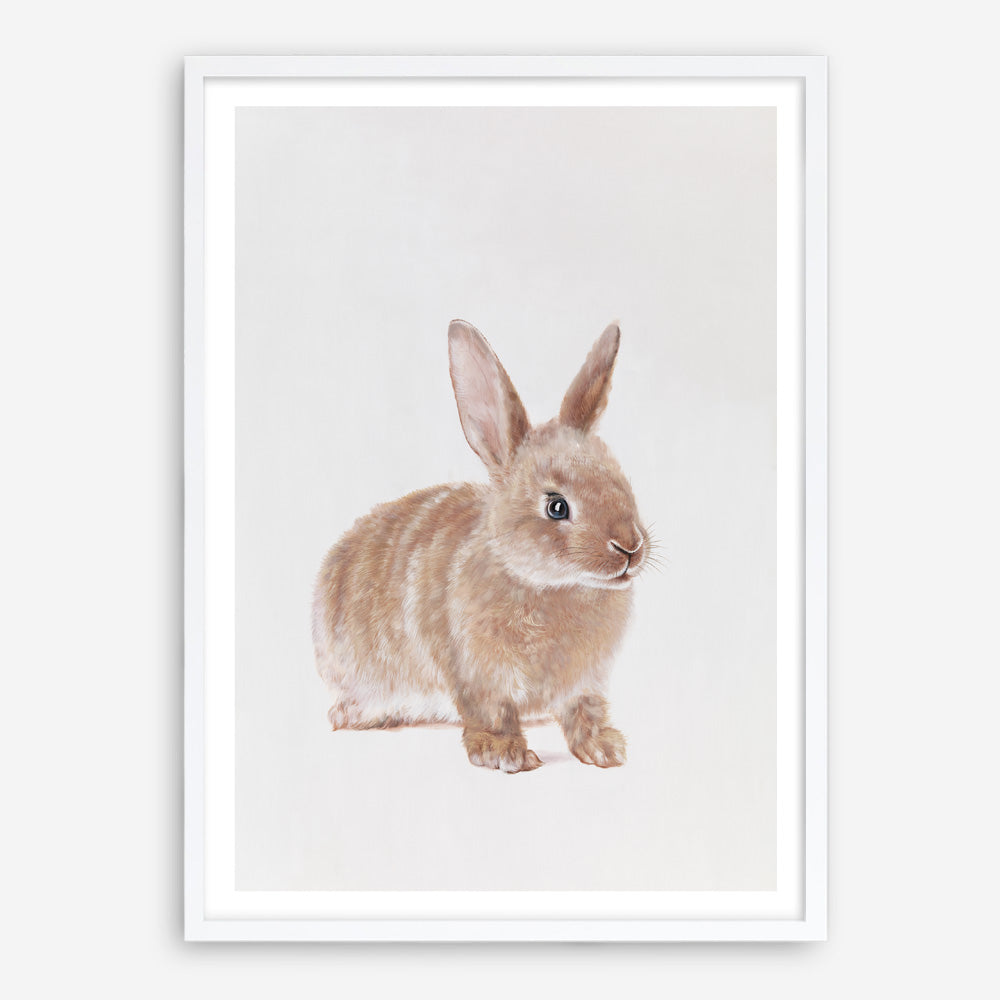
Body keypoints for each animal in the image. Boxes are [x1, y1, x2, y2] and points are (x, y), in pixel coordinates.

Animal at [312, 319, 650, 773]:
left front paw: (606, 750)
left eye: (622, 482)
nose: (630, 547)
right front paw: (505, 754)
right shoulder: (478, 673)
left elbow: (585, 712)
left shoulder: (584, 684)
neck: (548, 584)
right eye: (557, 506)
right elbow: (492, 712)